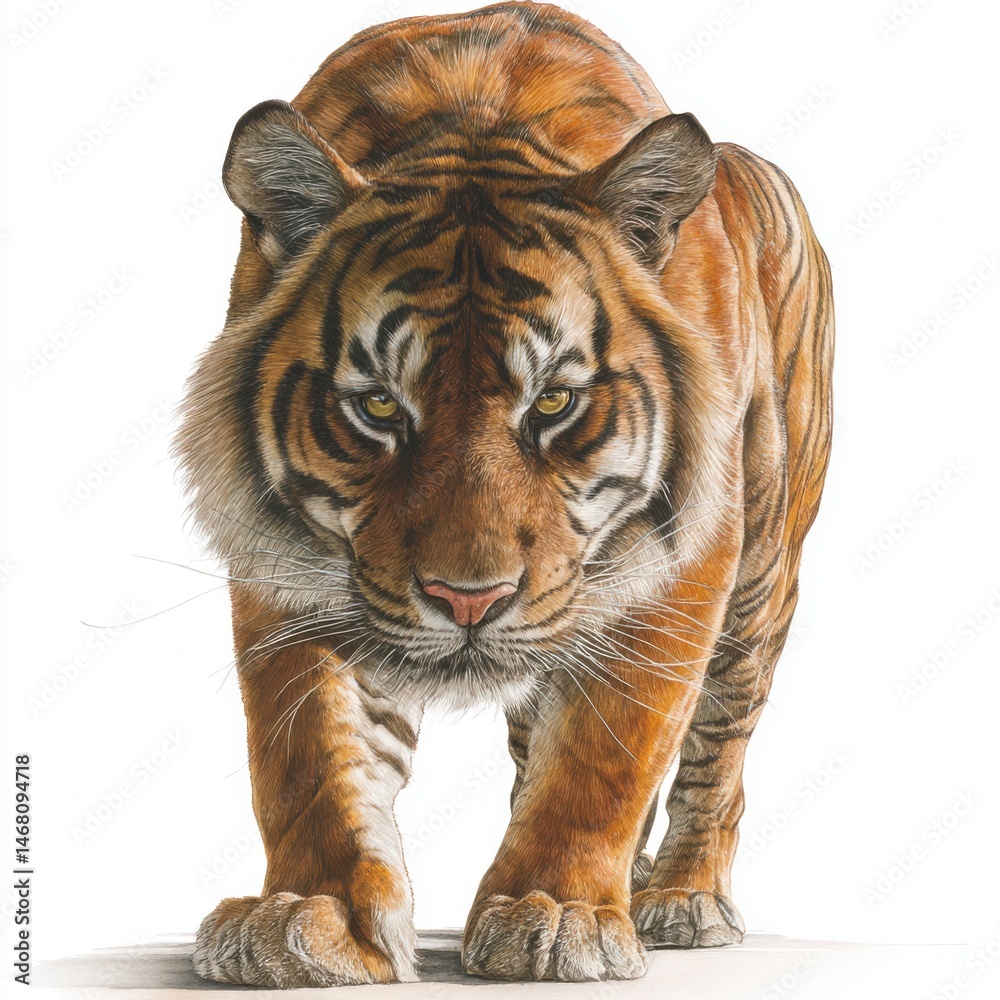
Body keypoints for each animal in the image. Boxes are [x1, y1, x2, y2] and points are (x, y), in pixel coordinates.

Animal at [177, 0, 833, 987]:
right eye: (378, 405)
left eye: (553, 402)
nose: (468, 600)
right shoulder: (286, 566)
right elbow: (307, 753)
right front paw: (309, 915)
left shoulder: (685, 560)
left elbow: (605, 753)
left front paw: (556, 911)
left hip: (761, 579)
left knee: (718, 751)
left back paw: (682, 898)